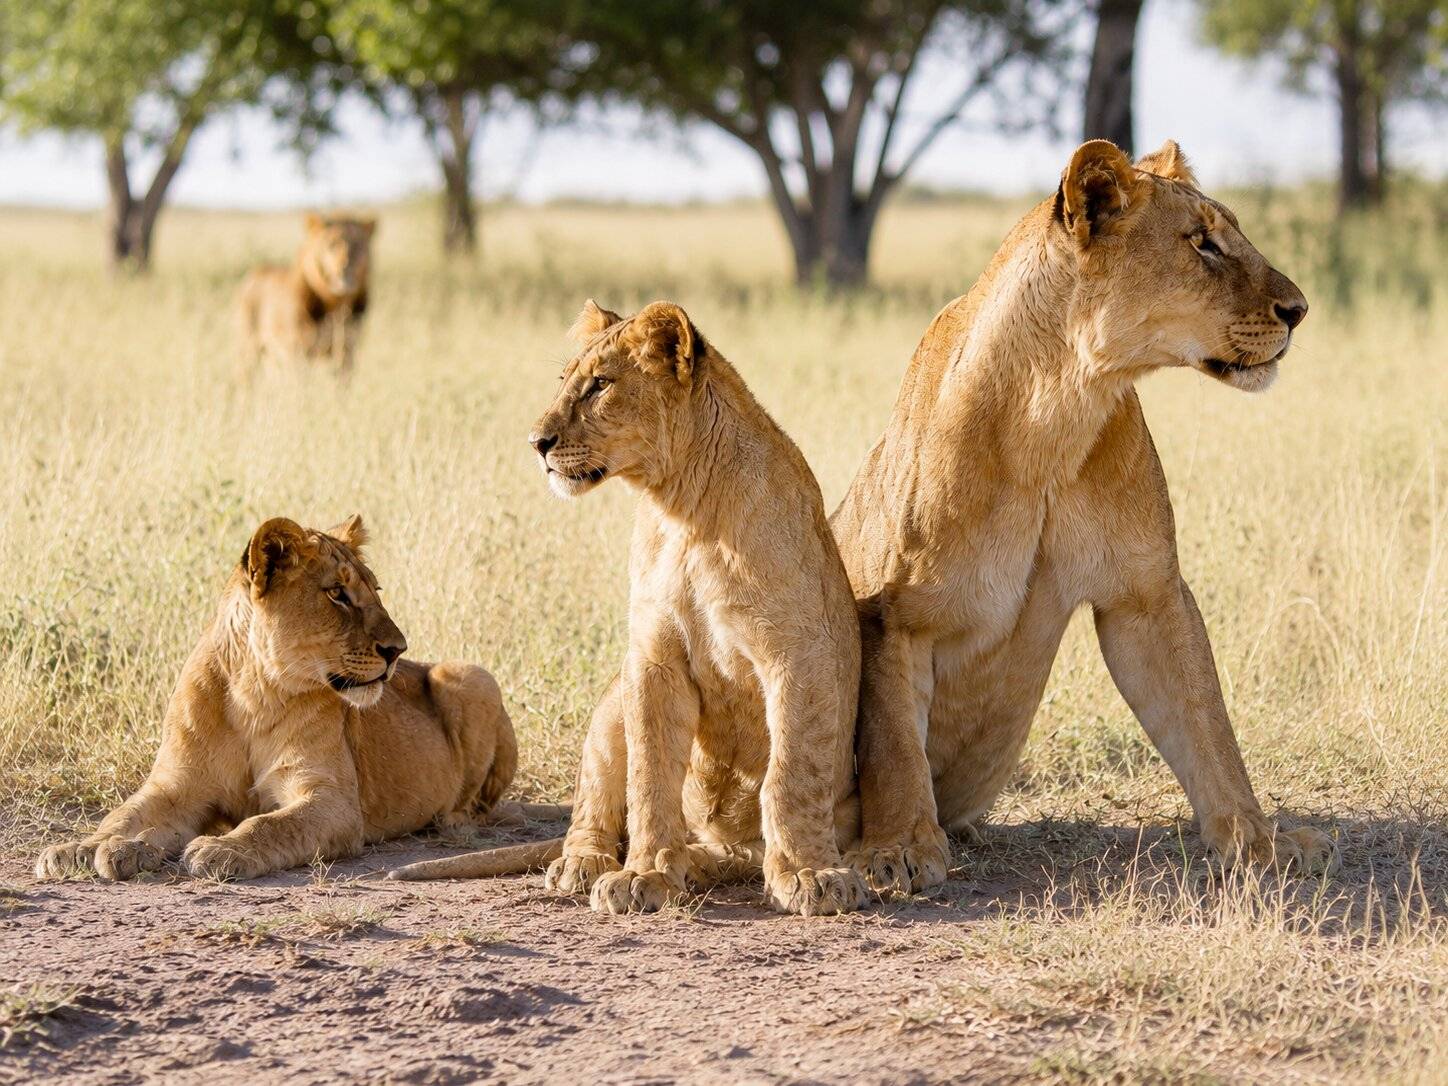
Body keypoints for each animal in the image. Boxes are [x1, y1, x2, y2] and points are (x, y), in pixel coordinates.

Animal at [34, 514, 518, 882]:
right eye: (337, 594)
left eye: (375, 591)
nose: (398, 649)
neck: (254, 693)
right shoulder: (175, 786)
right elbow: (124, 814)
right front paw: (84, 849)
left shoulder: (332, 799)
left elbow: (270, 824)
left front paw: (220, 850)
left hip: (471, 675)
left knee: (479, 801)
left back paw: (451, 820)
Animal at [237, 213, 375, 376]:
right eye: (331, 244)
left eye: (358, 246)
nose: (346, 268)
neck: (336, 301)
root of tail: (252, 273)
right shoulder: (298, 351)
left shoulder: (347, 349)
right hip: (248, 349)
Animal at [392, 300, 867, 917]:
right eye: (564, 380)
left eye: (600, 384)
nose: (535, 442)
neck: (686, 509)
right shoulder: (653, 658)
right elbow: (649, 774)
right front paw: (645, 874)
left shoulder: (797, 654)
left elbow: (791, 771)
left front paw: (810, 874)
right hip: (610, 703)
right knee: (593, 802)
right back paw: (585, 864)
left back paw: (709, 863)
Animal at [835, 139, 1337, 895]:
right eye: (1202, 242)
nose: (1299, 309)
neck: (1058, 409)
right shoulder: (895, 613)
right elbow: (892, 741)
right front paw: (897, 850)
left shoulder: (1148, 595)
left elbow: (1205, 723)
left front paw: (1257, 840)